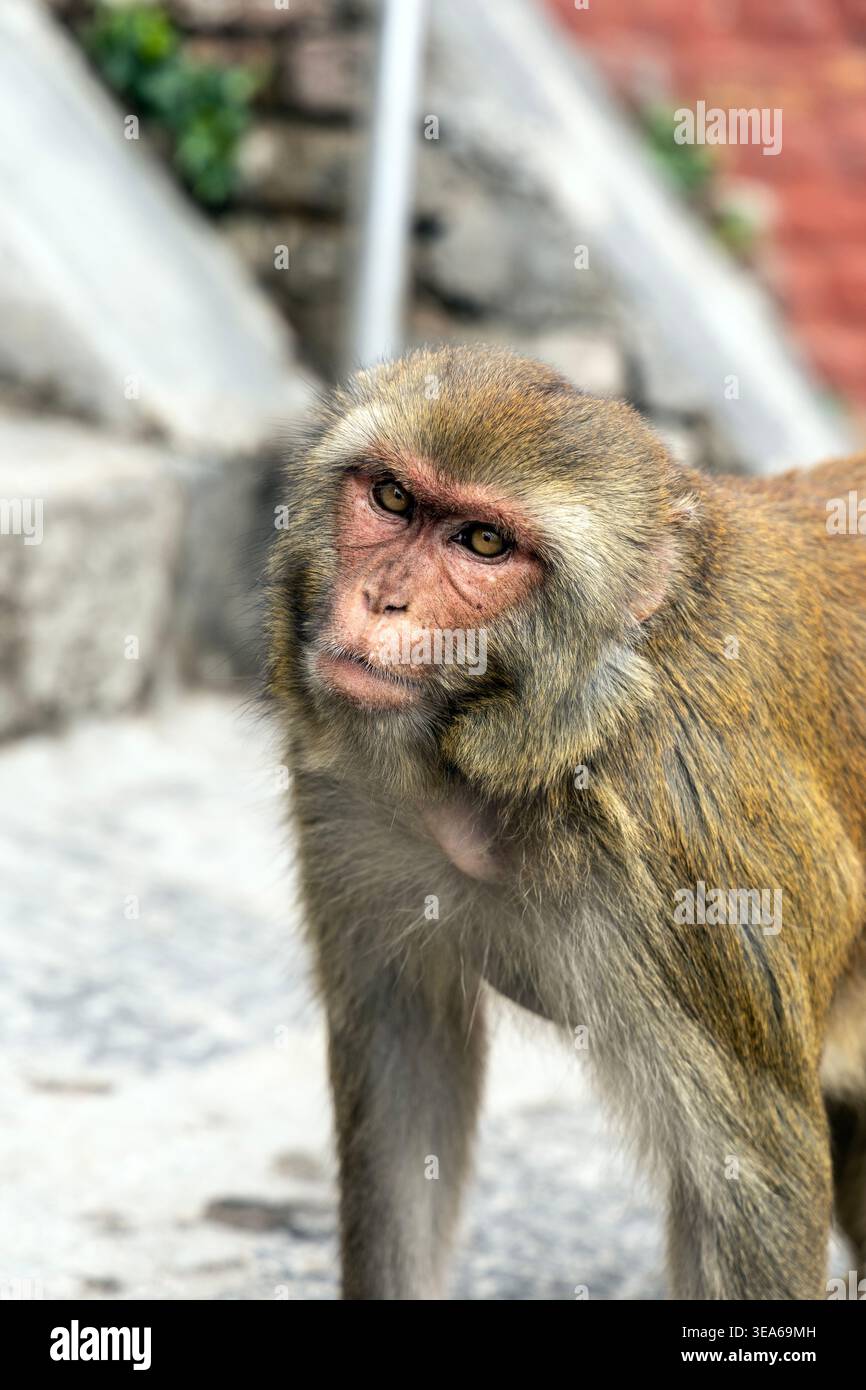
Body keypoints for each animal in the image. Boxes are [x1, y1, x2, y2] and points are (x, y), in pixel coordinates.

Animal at [266, 343, 866, 1300]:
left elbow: (753, 1179)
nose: (381, 599)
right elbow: (404, 1081)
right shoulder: (348, 798)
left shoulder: (683, 850)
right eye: (393, 498)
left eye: (484, 542)